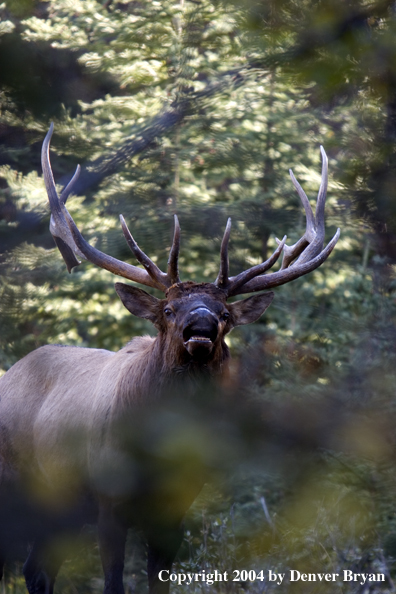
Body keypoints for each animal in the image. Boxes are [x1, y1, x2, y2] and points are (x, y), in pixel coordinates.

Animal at [0, 121, 340, 592]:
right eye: (168, 309)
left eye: (226, 315)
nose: (201, 326)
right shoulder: (108, 504)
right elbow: (114, 583)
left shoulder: (176, 511)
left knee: (37, 569)